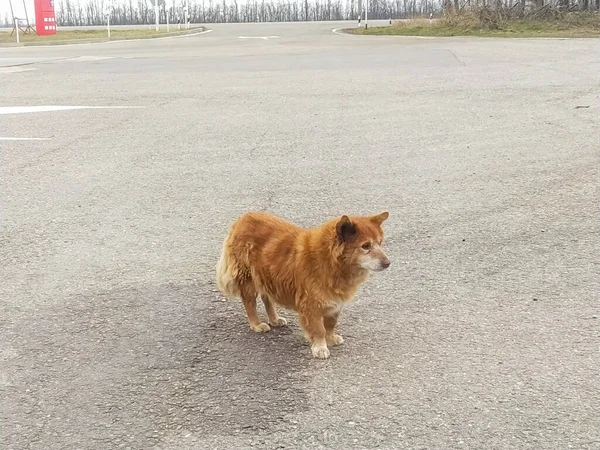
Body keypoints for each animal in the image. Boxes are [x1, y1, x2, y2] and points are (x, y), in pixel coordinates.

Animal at [214, 210, 390, 358]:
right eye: (366, 246)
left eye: (380, 243)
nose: (388, 263)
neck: (331, 261)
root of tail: (243, 218)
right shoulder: (311, 304)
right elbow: (318, 329)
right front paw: (320, 347)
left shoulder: (335, 302)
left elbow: (331, 324)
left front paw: (331, 338)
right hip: (248, 279)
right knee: (249, 303)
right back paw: (256, 324)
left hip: (268, 276)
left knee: (267, 299)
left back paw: (274, 319)